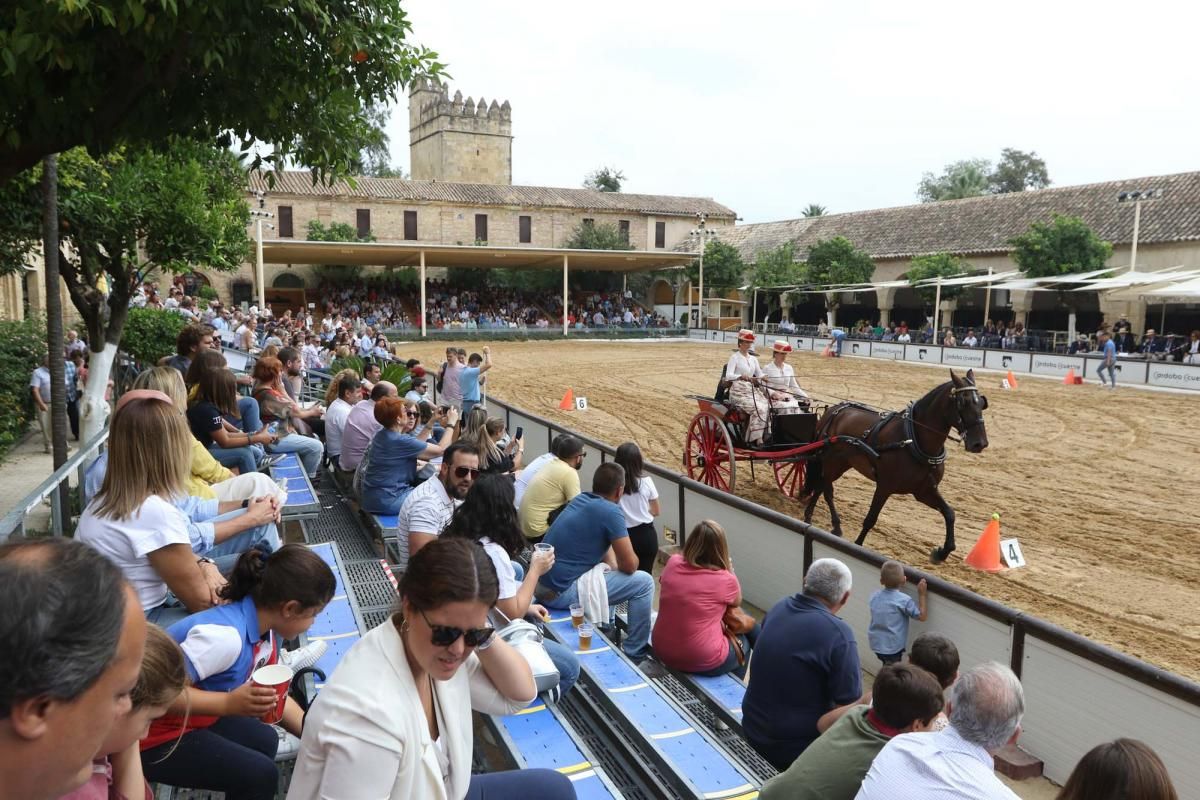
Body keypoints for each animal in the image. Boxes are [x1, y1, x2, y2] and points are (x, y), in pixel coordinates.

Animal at [801, 369, 988, 563]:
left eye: (982, 403)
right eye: (963, 402)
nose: (979, 443)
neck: (913, 441)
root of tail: (834, 410)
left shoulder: (924, 491)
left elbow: (950, 513)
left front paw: (942, 552)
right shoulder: (884, 487)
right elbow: (870, 519)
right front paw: (858, 547)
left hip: (842, 463)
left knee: (822, 486)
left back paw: (820, 519)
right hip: (832, 462)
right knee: (826, 489)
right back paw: (824, 520)